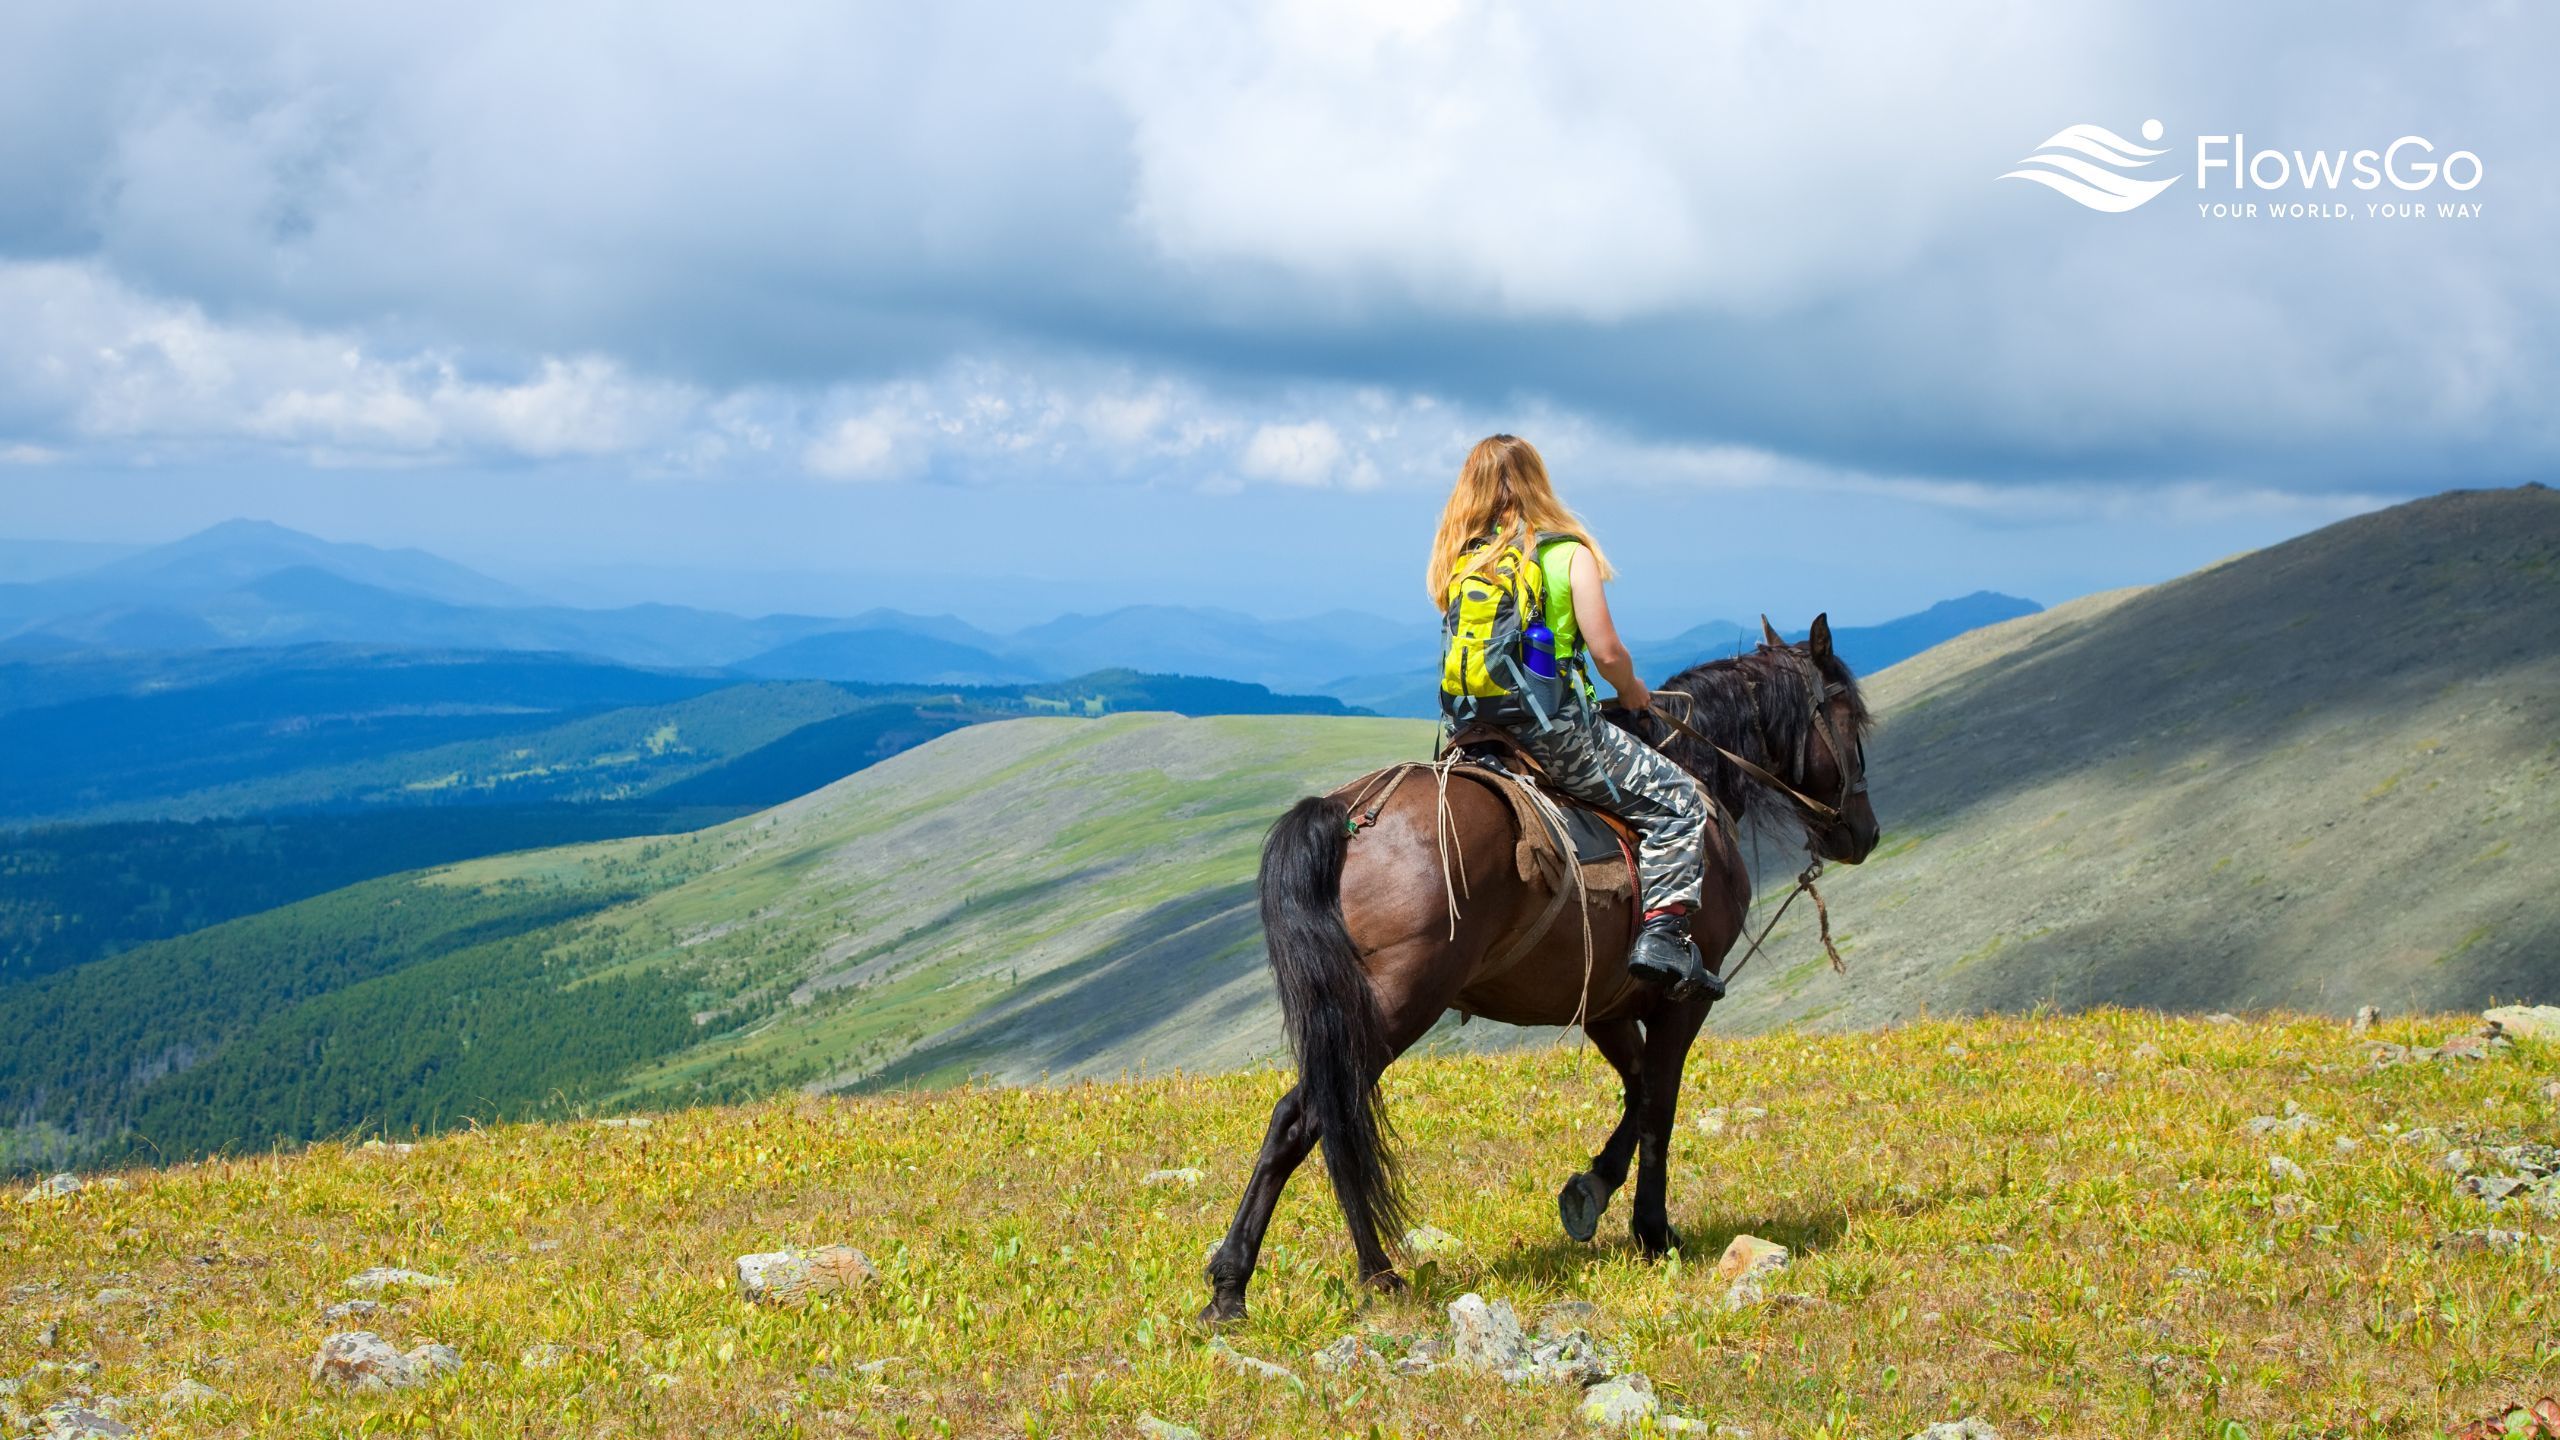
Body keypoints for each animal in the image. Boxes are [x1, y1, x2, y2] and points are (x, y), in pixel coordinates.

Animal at [1198, 609, 1884, 1322]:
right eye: (1851, 720)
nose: (1863, 832)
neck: (1695, 774)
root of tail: (1349, 814)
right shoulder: (1684, 998)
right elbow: (1660, 1105)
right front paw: (1653, 1230)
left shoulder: (1606, 1005)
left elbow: (1637, 1092)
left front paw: (1591, 1189)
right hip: (1393, 1008)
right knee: (1310, 1116)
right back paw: (1302, 1277)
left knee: (1321, 1119)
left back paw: (1287, 1279)